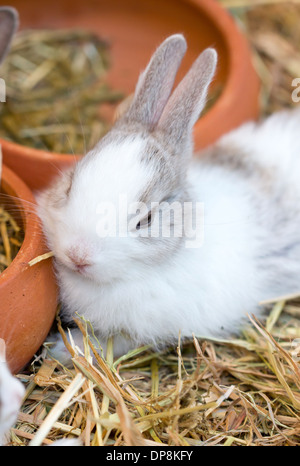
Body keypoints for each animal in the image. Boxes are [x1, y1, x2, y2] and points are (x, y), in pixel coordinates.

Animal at [37, 33, 300, 364]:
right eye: (70, 185)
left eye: (146, 219)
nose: (78, 255)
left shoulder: (142, 330)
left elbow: (110, 343)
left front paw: (61, 347)